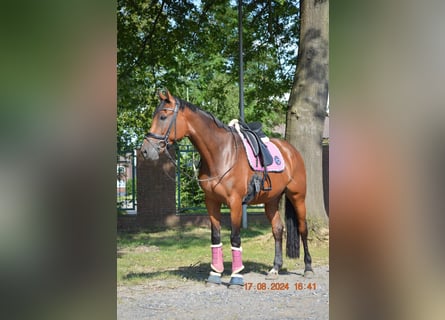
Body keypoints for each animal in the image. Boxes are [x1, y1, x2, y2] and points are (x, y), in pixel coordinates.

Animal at [140, 89, 312, 284]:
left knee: (303, 228)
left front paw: (235, 277)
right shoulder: (211, 202)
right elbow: (215, 236)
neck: (221, 153)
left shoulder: (235, 203)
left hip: (297, 196)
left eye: (162, 116)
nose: (145, 150)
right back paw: (275, 268)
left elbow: (235, 238)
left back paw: (308, 268)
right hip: (271, 200)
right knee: (277, 229)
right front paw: (215, 274)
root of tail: (291, 150)